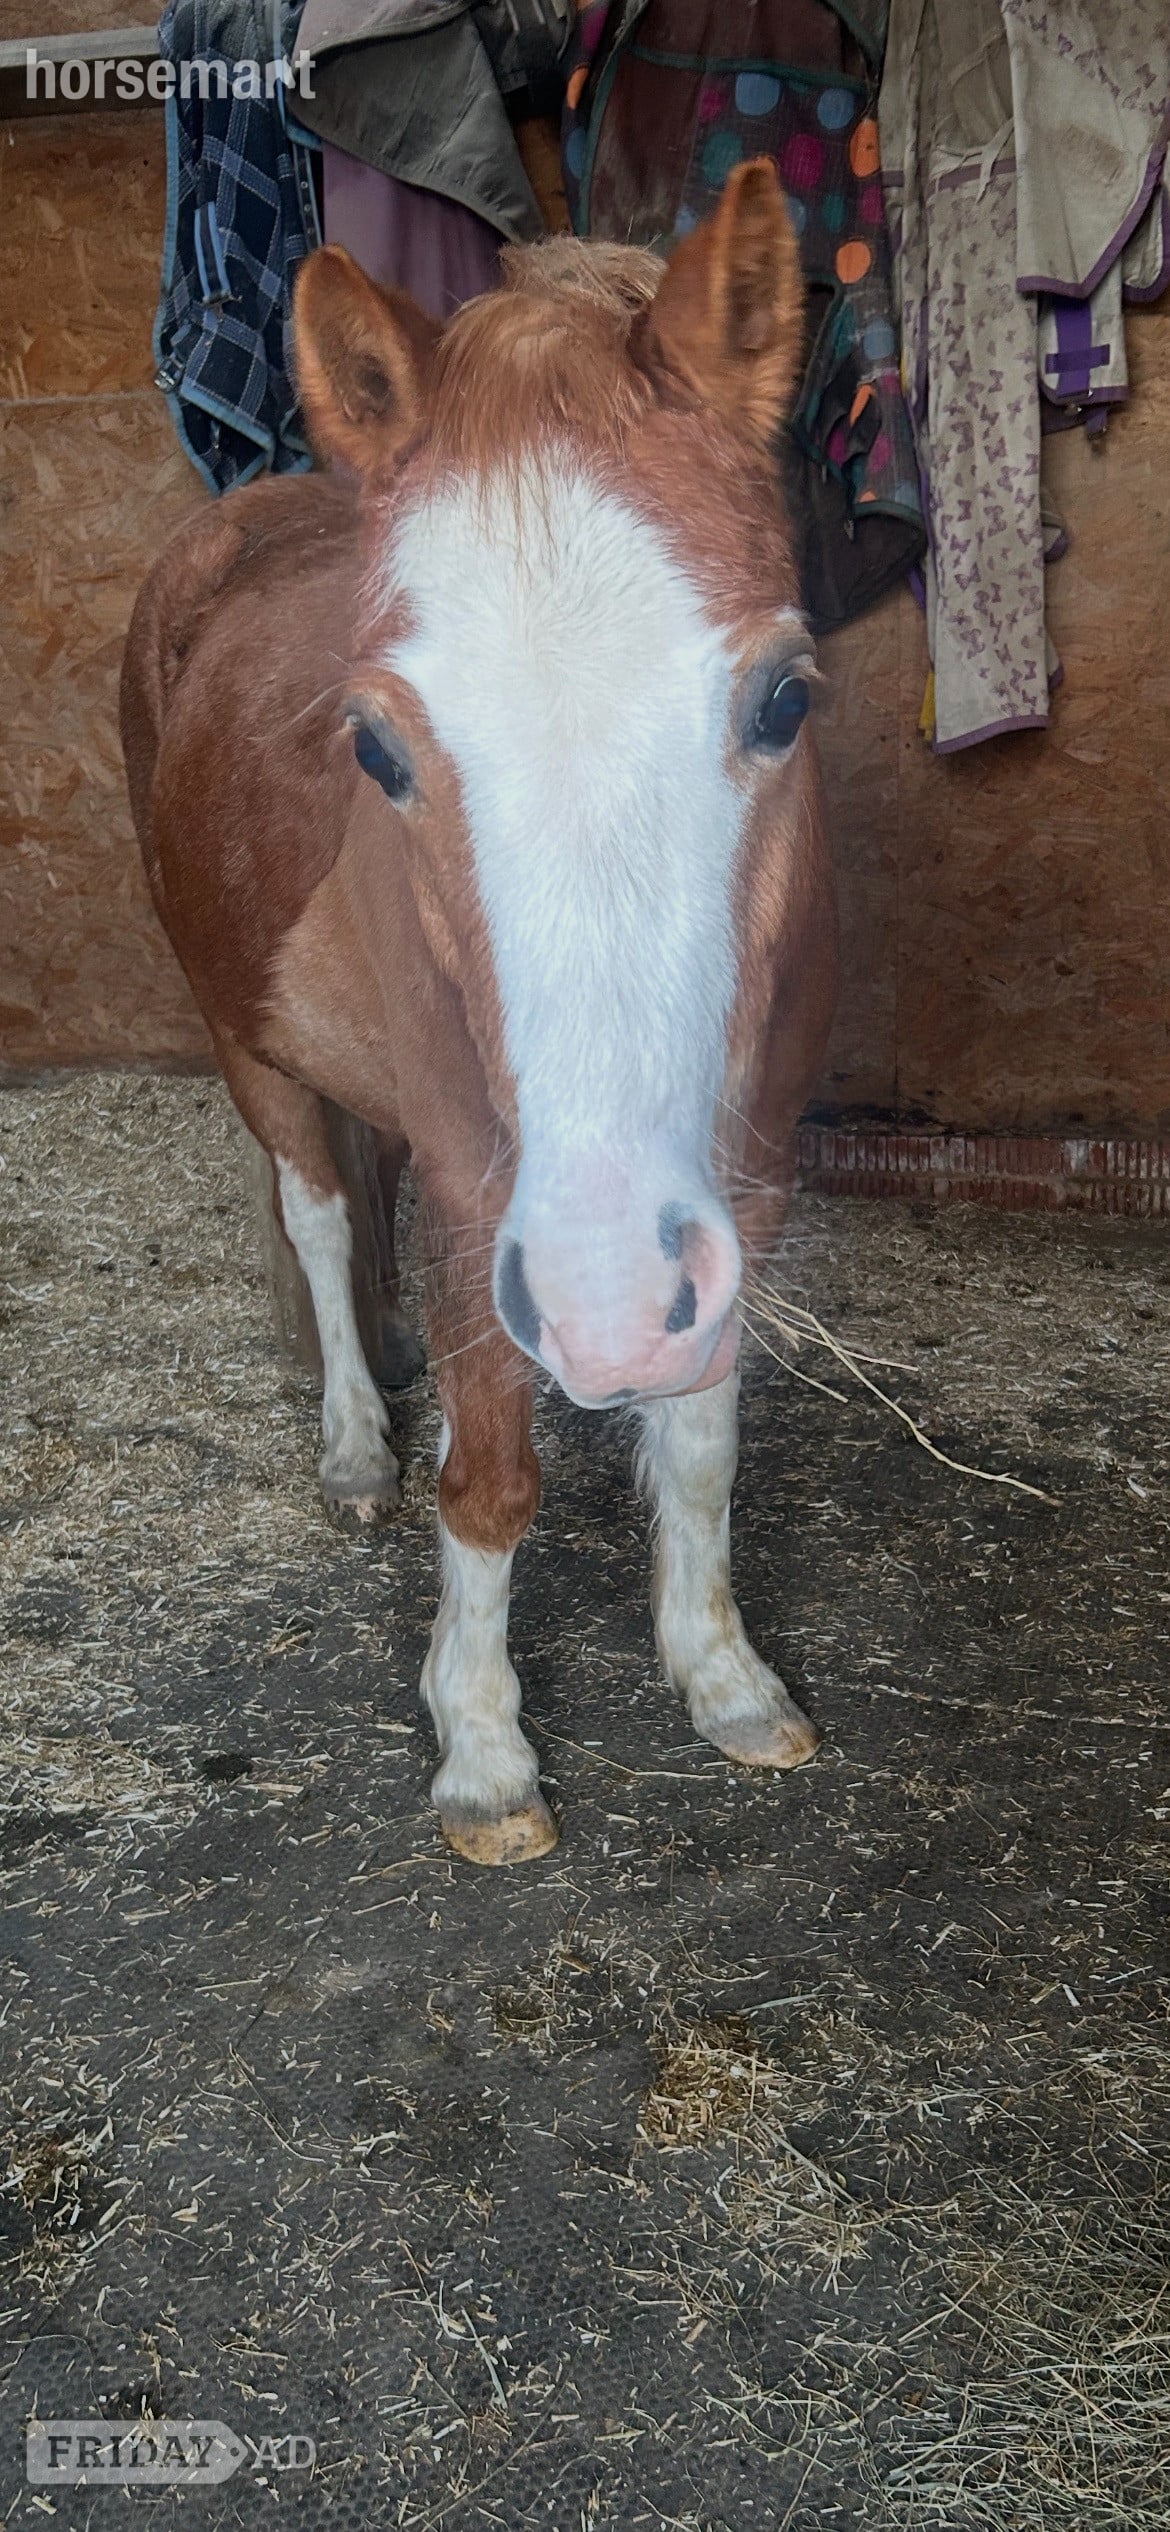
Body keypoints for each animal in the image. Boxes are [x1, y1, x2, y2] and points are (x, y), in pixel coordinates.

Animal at [120, 159, 838, 1865]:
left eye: (785, 699)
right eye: (377, 749)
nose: (600, 1296)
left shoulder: (750, 1169)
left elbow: (700, 1439)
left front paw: (721, 1675)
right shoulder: (474, 1180)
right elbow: (493, 1474)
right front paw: (484, 1746)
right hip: (246, 1044)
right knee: (322, 1220)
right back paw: (351, 1442)